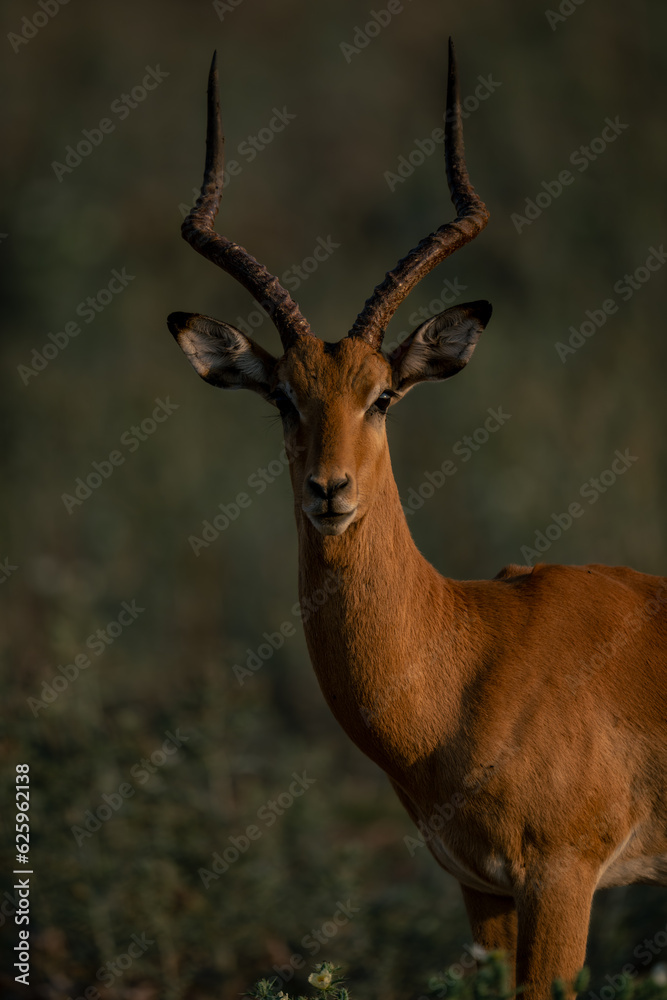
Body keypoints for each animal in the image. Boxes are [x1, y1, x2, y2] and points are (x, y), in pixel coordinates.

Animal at [167, 43, 667, 999]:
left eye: (383, 396)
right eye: (283, 397)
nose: (329, 491)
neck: (467, 656)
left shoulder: (562, 875)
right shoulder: (482, 889)